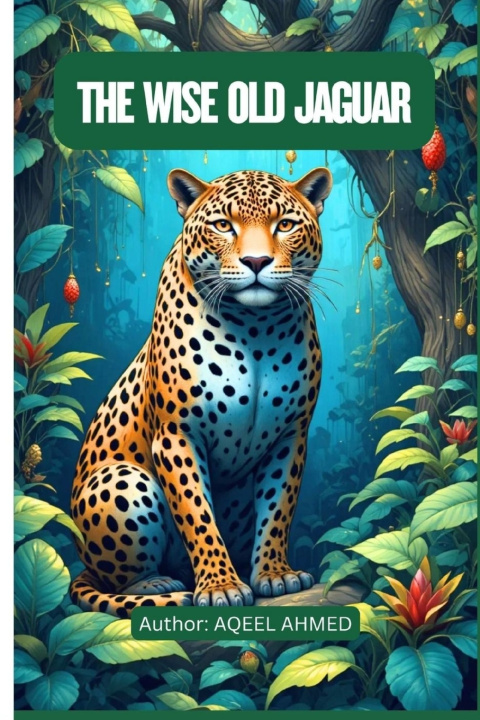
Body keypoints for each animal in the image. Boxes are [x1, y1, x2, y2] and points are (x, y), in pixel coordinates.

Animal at [70, 165, 333, 616]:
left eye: (285, 225)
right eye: (223, 225)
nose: (257, 261)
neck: (256, 329)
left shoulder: (290, 435)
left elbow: (278, 509)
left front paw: (275, 574)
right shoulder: (177, 435)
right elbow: (196, 513)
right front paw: (221, 587)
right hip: (121, 479)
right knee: (119, 578)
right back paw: (158, 582)